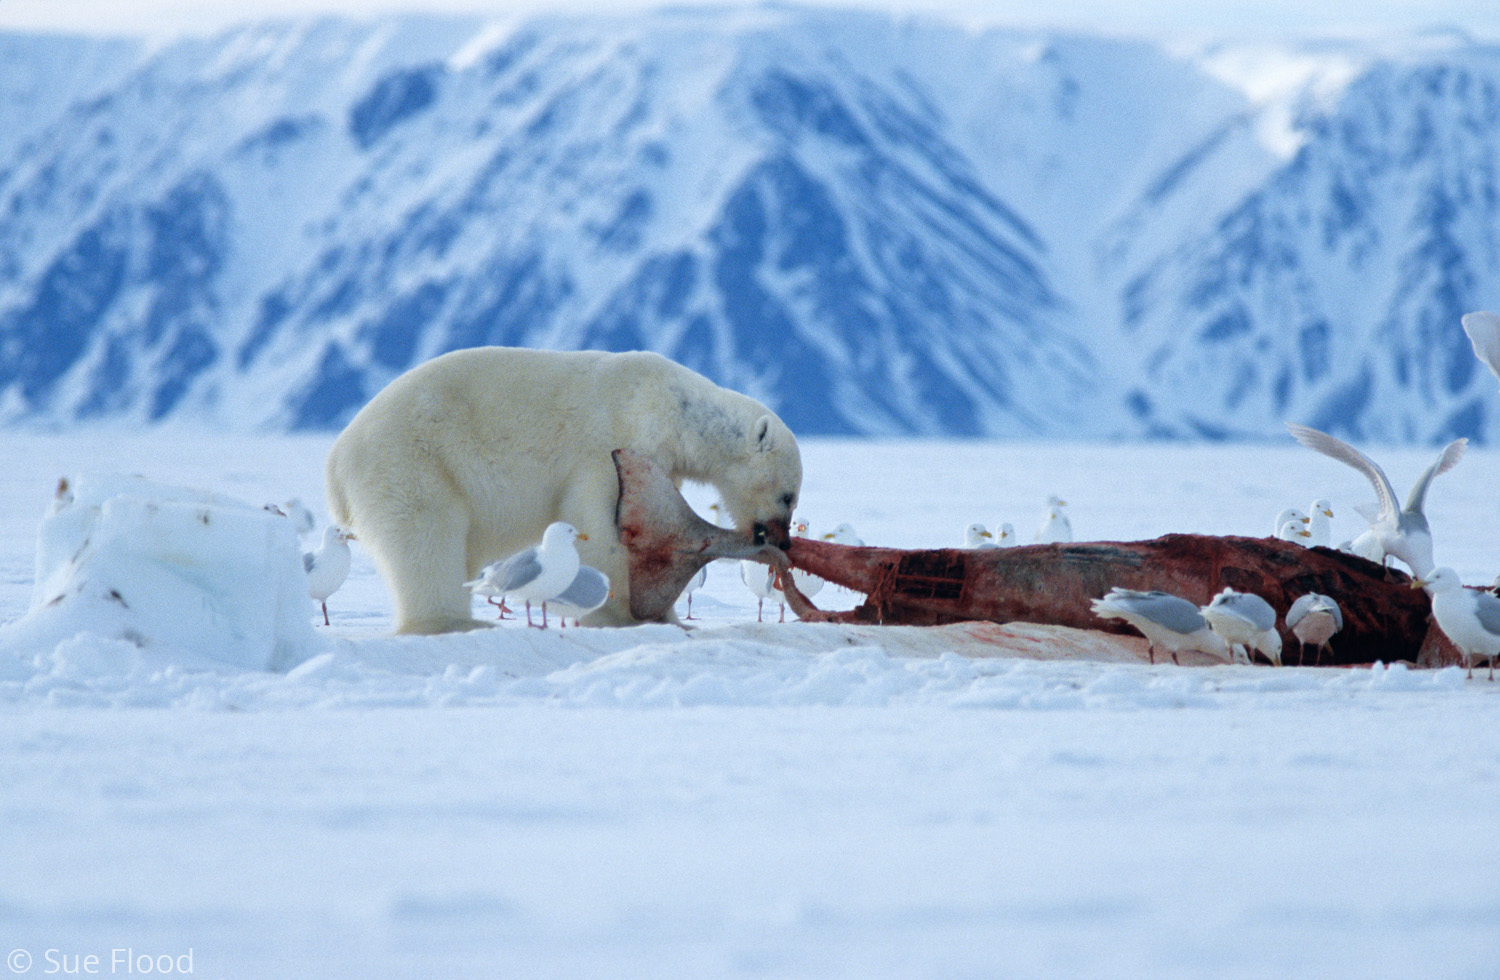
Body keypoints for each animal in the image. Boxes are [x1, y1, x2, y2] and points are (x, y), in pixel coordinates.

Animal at [324, 348, 804, 630]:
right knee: (426, 541)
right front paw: (620, 613)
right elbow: (598, 520)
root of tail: (335, 467)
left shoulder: (661, 459)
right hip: (411, 463)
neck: (672, 408)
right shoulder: (610, 442)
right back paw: (453, 621)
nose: (781, 539)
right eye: (788, 495)